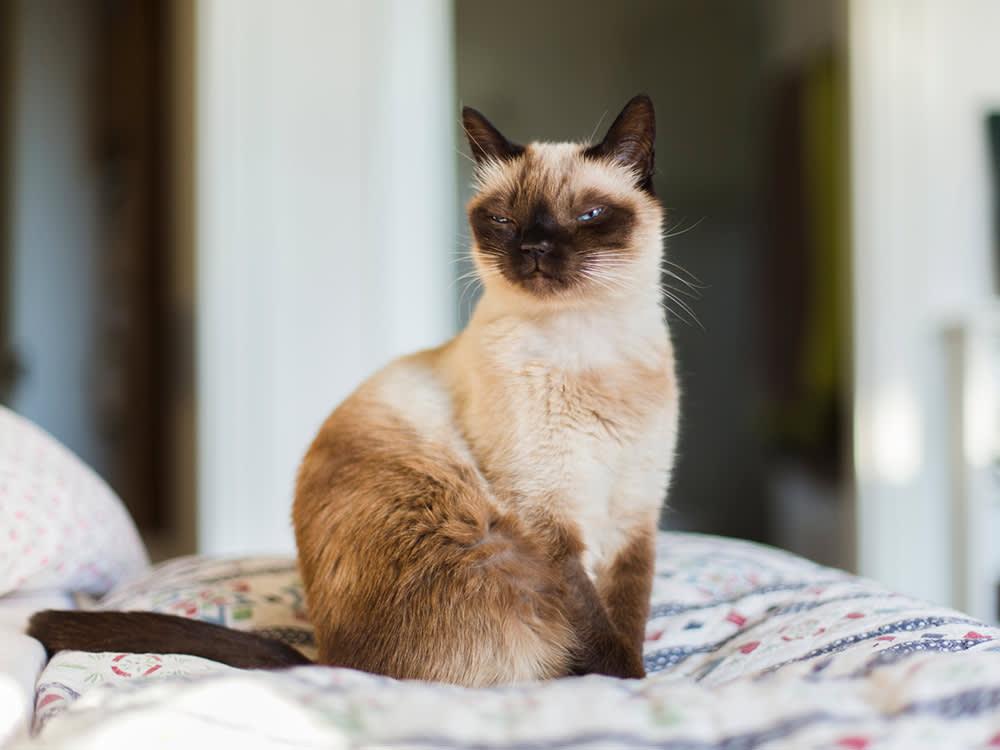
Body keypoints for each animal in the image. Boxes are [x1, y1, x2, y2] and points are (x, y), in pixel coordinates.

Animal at [29, 95, 680, 688]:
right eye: (503, 222)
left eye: (590, 216)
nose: (534, 250)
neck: (588, 349)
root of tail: (331, 660)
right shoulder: (548, 524)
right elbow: (597, 629)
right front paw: (629, 685)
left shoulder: (634, 518)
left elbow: (627, 613)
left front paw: (638, 676)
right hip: (489, 540)